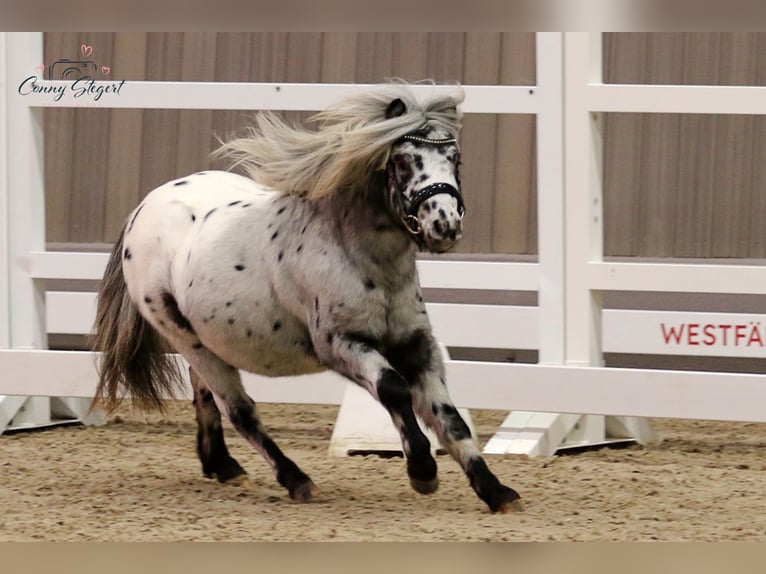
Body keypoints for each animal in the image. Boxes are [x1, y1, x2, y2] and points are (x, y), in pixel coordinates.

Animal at [88, 80, 520, 512]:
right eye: (402, 162)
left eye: (455, 160)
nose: (444, 226)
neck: (361, 258)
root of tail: (144, 208)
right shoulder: (341, 344)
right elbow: (394, 390)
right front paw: (423, 472)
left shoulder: (416, 346)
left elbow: (449, 418)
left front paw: (496, 492)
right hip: (183, 336)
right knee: (239, 410)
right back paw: (295, 479)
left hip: (206, 341)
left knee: (206, 395)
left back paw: (224, 467)